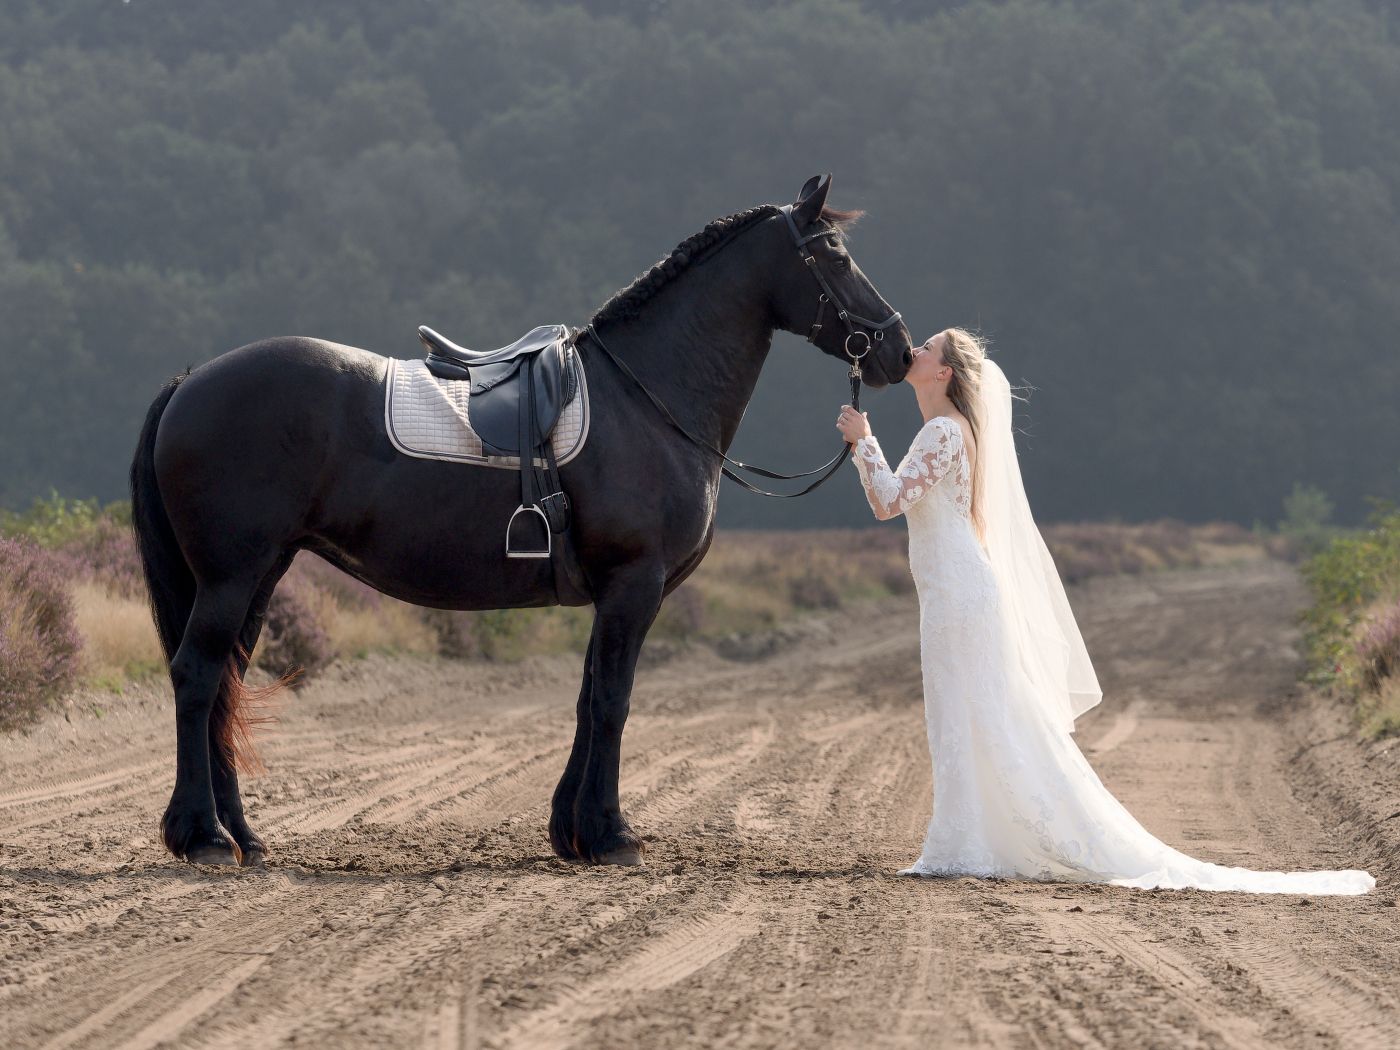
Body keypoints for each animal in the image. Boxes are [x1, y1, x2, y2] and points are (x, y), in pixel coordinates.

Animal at [129, 174, 913, 868]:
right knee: (198, 676)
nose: (898, 350)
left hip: (262, 573)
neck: (647, 397)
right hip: (231, 576)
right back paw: (202, 837)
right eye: (834, 256)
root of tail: (191, 381)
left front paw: (572, 831)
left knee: (225, 684)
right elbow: (613, 701)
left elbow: (588, 698)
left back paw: (243, 837)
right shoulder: (635, 584)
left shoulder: (613, 594)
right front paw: (612, 835)